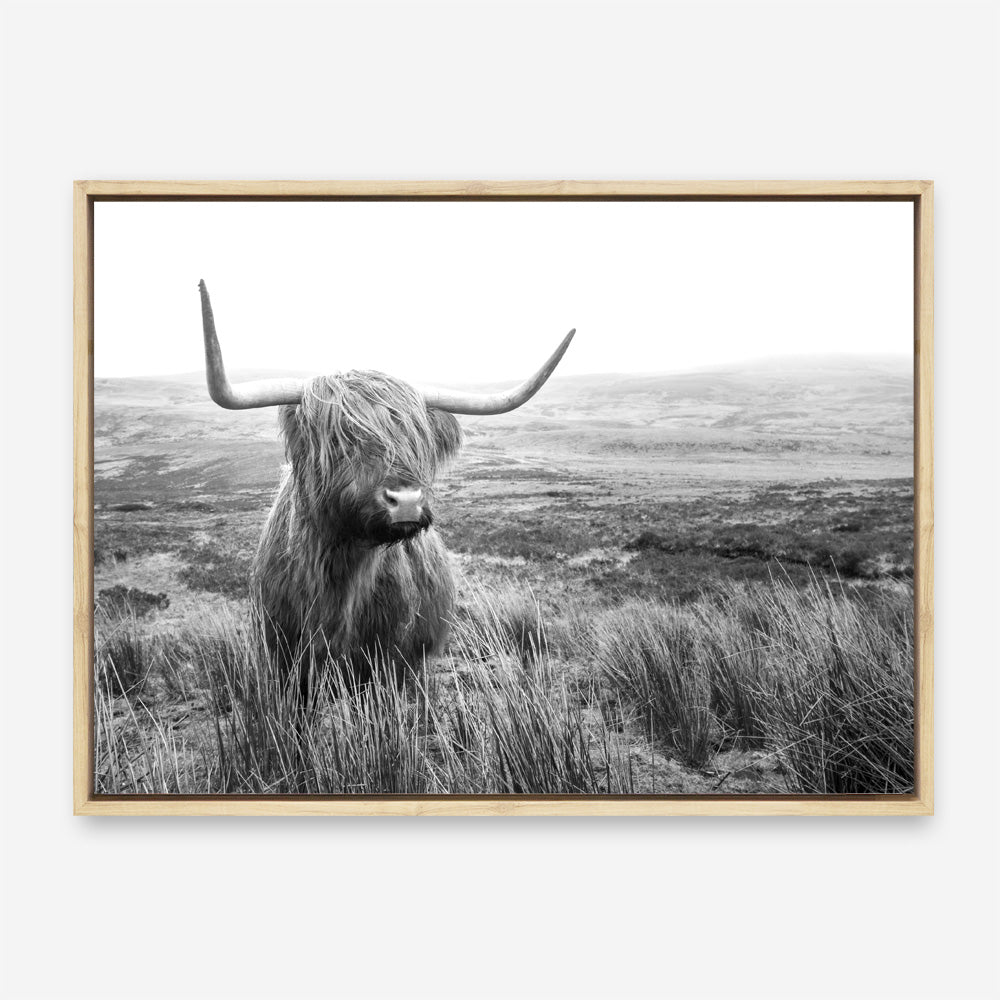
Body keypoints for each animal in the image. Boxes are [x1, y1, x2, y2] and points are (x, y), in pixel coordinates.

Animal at [198, 280, 574, 697]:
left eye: (416, 440)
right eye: (339, 439)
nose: (406, 501)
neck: (343, 576)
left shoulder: (394, 663)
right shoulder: (286, 661)